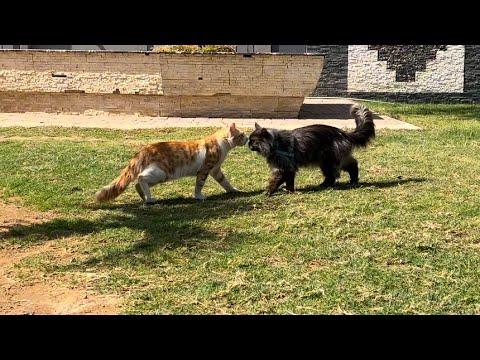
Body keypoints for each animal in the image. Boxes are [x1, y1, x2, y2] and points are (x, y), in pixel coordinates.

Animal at [96, 124, 249, 204]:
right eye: (242, 135)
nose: (247, 138)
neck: (221, 144)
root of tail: (145, 149)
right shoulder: (205, 170)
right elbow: (199, 185)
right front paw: (199, 196)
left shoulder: (216, 170)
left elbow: (225, 182)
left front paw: (233, 190)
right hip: (161, 173)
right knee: (140, 178)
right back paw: (150, 198)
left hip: (158, 177)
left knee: (137, 184)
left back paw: (146, 198)